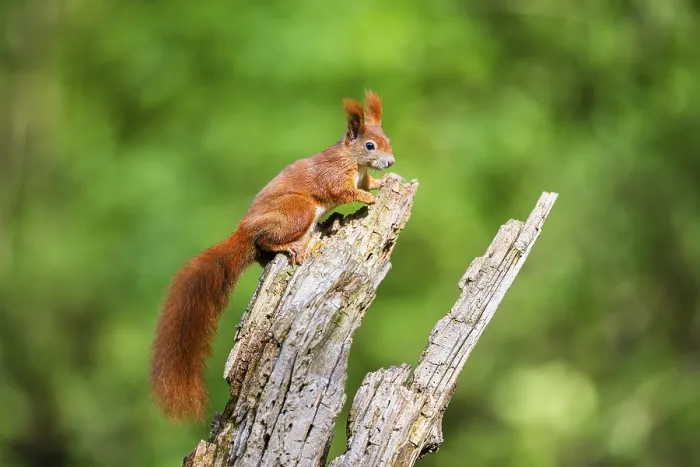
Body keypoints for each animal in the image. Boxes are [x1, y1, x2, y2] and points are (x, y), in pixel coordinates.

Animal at [149, 90, 396, 422]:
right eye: (370, 145)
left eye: (388, 140)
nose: (390, 161)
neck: (352, 161)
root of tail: (243, 231)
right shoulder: (333, 177)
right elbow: (344, 192)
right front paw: (367, 197)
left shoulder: (361, 176)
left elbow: (369, 183)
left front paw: (384, 182)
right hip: (298, 210)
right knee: (266, 239)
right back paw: (290, 247)